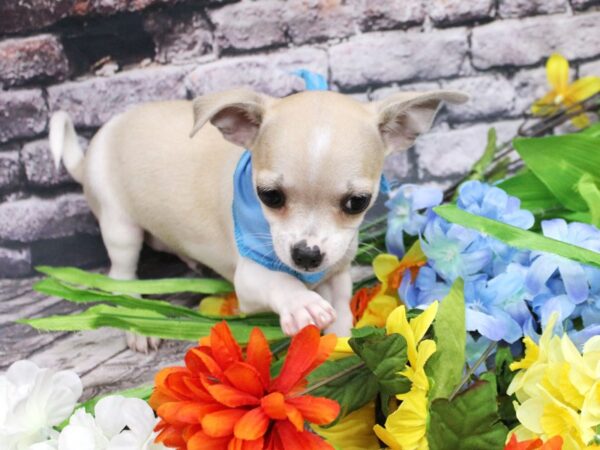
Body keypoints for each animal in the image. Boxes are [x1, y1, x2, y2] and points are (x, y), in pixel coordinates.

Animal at [49, 87, 466, 352]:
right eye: (270, 196)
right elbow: (280, 281)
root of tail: (90, 152)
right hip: (119, 226)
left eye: (357, 203)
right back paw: (133, 317)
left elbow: (341, 300)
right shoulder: (249, 280)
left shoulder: (336, 269)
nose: (307, 255)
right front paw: (301, 303)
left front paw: (341, 334)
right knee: (120, 272)